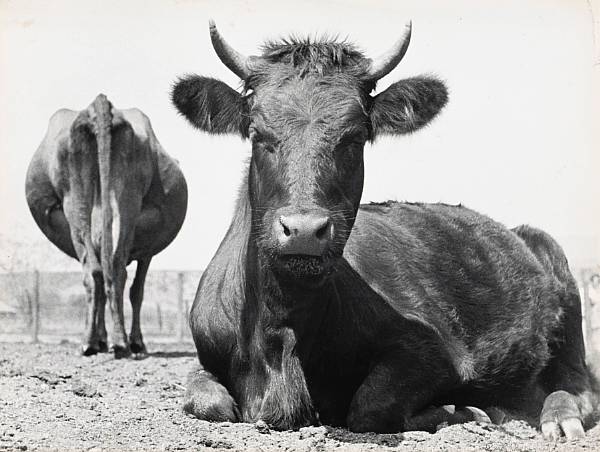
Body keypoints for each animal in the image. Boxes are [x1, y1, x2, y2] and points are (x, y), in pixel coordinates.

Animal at [25, 94, 188, 356]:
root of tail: (99, 105)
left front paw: (103, 338)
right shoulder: (148, 252)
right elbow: (137, 291)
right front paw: (134, 341)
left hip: (76, 201)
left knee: (96, 272)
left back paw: (94, 342)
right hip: (126, 201)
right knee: (115, 269)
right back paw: (119, 343)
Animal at [170, 23, 596, 440]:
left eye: (355, 136)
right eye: (257, 133)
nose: (304, 230)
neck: (281, 330)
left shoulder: (433, 350)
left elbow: (371, 404)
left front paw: (461, 410)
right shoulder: (205, 355)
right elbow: (208, 400)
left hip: (557, 269)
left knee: (579, 384)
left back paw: (556, 416)